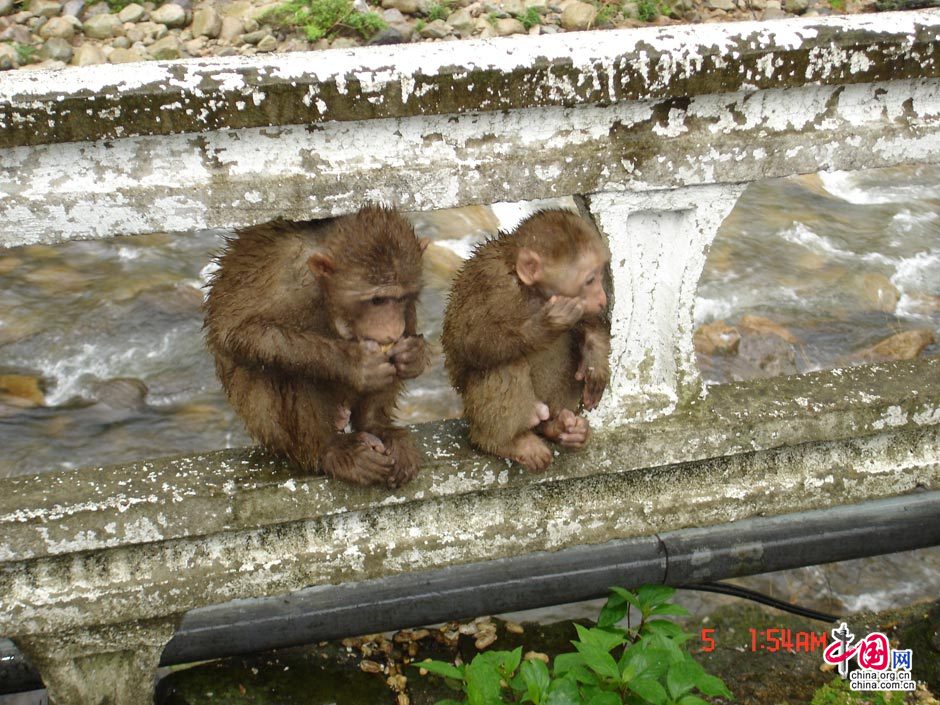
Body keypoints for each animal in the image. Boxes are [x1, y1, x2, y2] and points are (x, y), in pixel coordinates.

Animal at [206, 206, 430, 486]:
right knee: (290, 370)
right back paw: (332, 450)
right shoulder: (288, 280)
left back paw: (375, 426)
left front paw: (413, 355)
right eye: (377, 300)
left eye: (401, 297)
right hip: (272, 431)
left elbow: (406, 328)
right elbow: (239, 332)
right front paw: (355, 364)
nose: (391, 329)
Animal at [440, 209, 608, 472]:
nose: (602, 298)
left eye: (601, 274)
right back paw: (506, 442)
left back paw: (559, 428)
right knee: (506, 364)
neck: (531, 291)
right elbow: (469, 341)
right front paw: (547, 323)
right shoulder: (490, 283)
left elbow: (587, 324)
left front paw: (595, 357)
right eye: (590, 280)